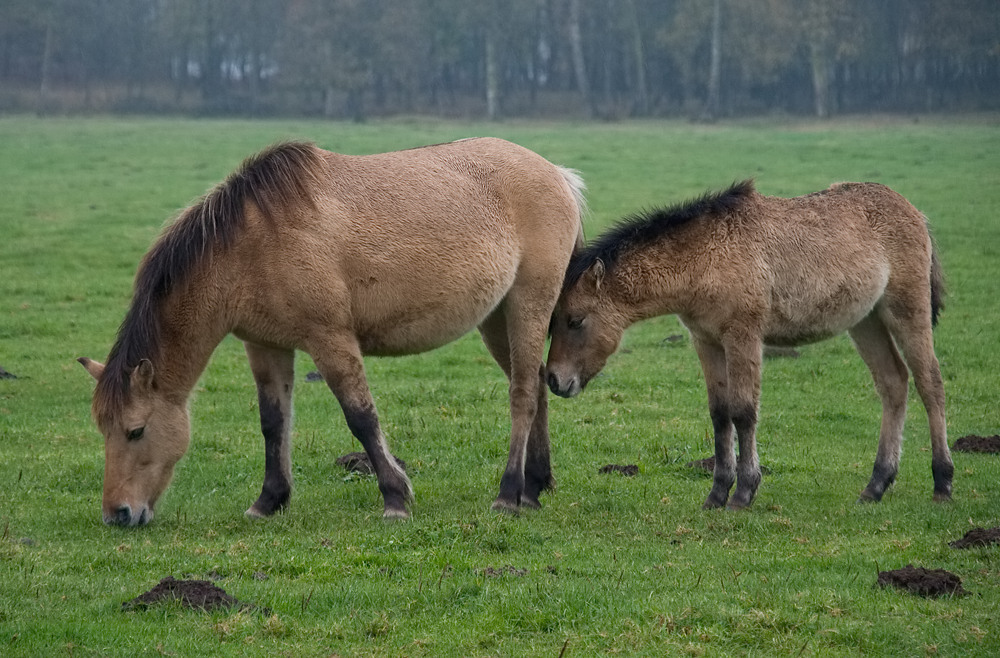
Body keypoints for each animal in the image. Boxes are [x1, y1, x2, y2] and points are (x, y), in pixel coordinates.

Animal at [84, 137, 592, 524]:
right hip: (496, 318)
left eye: (135, 430)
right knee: (534, 385)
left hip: (528, 303)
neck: (251, 246)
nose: (117, 514)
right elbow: (273, 423)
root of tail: (557, 174)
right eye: (102, 428)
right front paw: (269, 501)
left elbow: (361, 417)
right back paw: (534, 486)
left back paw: (508, 493)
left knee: (523, 392)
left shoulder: (330, 340)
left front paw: (395, 497)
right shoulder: (265, 346)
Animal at [552, 182, 948, 510]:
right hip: (866, 321)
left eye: (576, 320)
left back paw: (942, 482)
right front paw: (716, 494)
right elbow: (719, 413)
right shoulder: (706, 341)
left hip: (906, 310)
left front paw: (744, 492)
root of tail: (916, 213)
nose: (555, 381)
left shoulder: (742, 337)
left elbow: (743, 411)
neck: (705, 257)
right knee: (893, 382)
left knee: (930, 382)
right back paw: (876, 485)